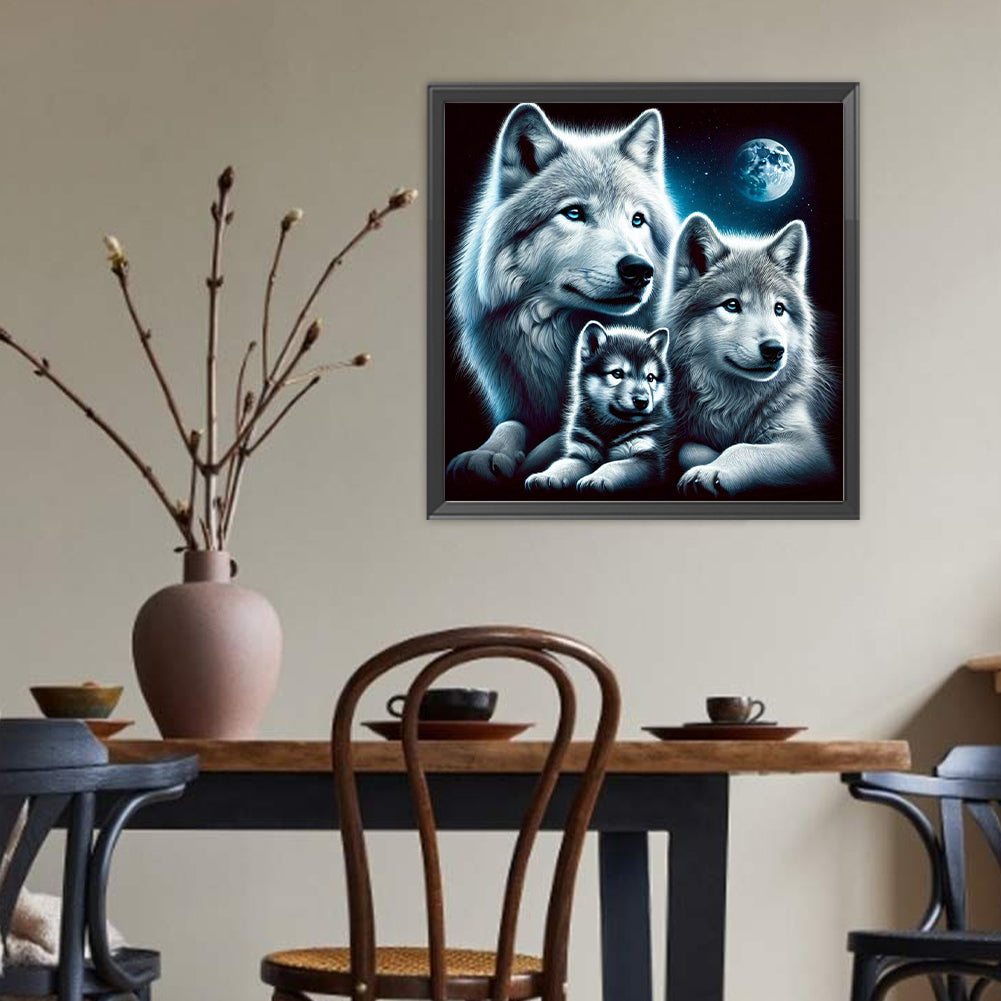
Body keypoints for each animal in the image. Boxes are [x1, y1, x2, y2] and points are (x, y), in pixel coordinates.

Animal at [525, 321, 673, 494]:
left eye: (650, 378)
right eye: (617, 373)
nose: (642, 401)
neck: (610, 428)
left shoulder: (648, 460)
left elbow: (613, 466)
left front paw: (596, 478)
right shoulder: (582, 454)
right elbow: (561, 465)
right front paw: (545, 476)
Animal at [666, 212, 834, 497]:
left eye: (779, 309)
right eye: (732, 305)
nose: (774, 350)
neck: (734, 403)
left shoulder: (811, 450)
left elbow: (743, 448)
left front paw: (711, 470)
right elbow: (687, 449)